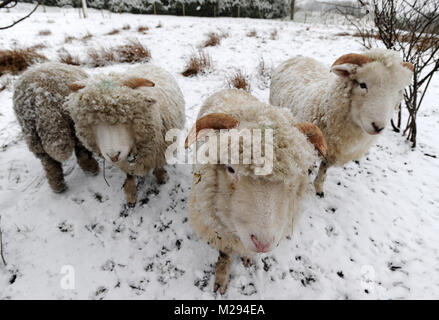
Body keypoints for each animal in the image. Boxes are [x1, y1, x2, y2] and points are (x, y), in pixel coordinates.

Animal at [13, 62, 98, 192]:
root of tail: (40, 95)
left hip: (31, 133)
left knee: (49, 163)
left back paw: (57, 186)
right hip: (73, 122)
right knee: (82, 150)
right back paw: (92, 169)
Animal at [65, 63, 186, 206]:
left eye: (126, 119)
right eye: (93, 122)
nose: (113, 156)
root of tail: (147, 63)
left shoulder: (159, 151)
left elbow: (158, 165)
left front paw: (162, 176)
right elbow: (129, 174)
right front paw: (130, 193)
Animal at [187, 89, 328, 294]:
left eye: (296, 175)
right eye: (231, 168)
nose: (263, 243)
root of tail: (232, 89)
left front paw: (247, 258)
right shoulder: (219, 230)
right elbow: (225, 254)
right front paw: (221, 277)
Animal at [270, 48, 414, 196]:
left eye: (398, 91)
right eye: (363, 84)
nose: (378, 127)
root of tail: (298, 57)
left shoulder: (332, 152)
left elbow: (324, 169)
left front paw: (319, 187)